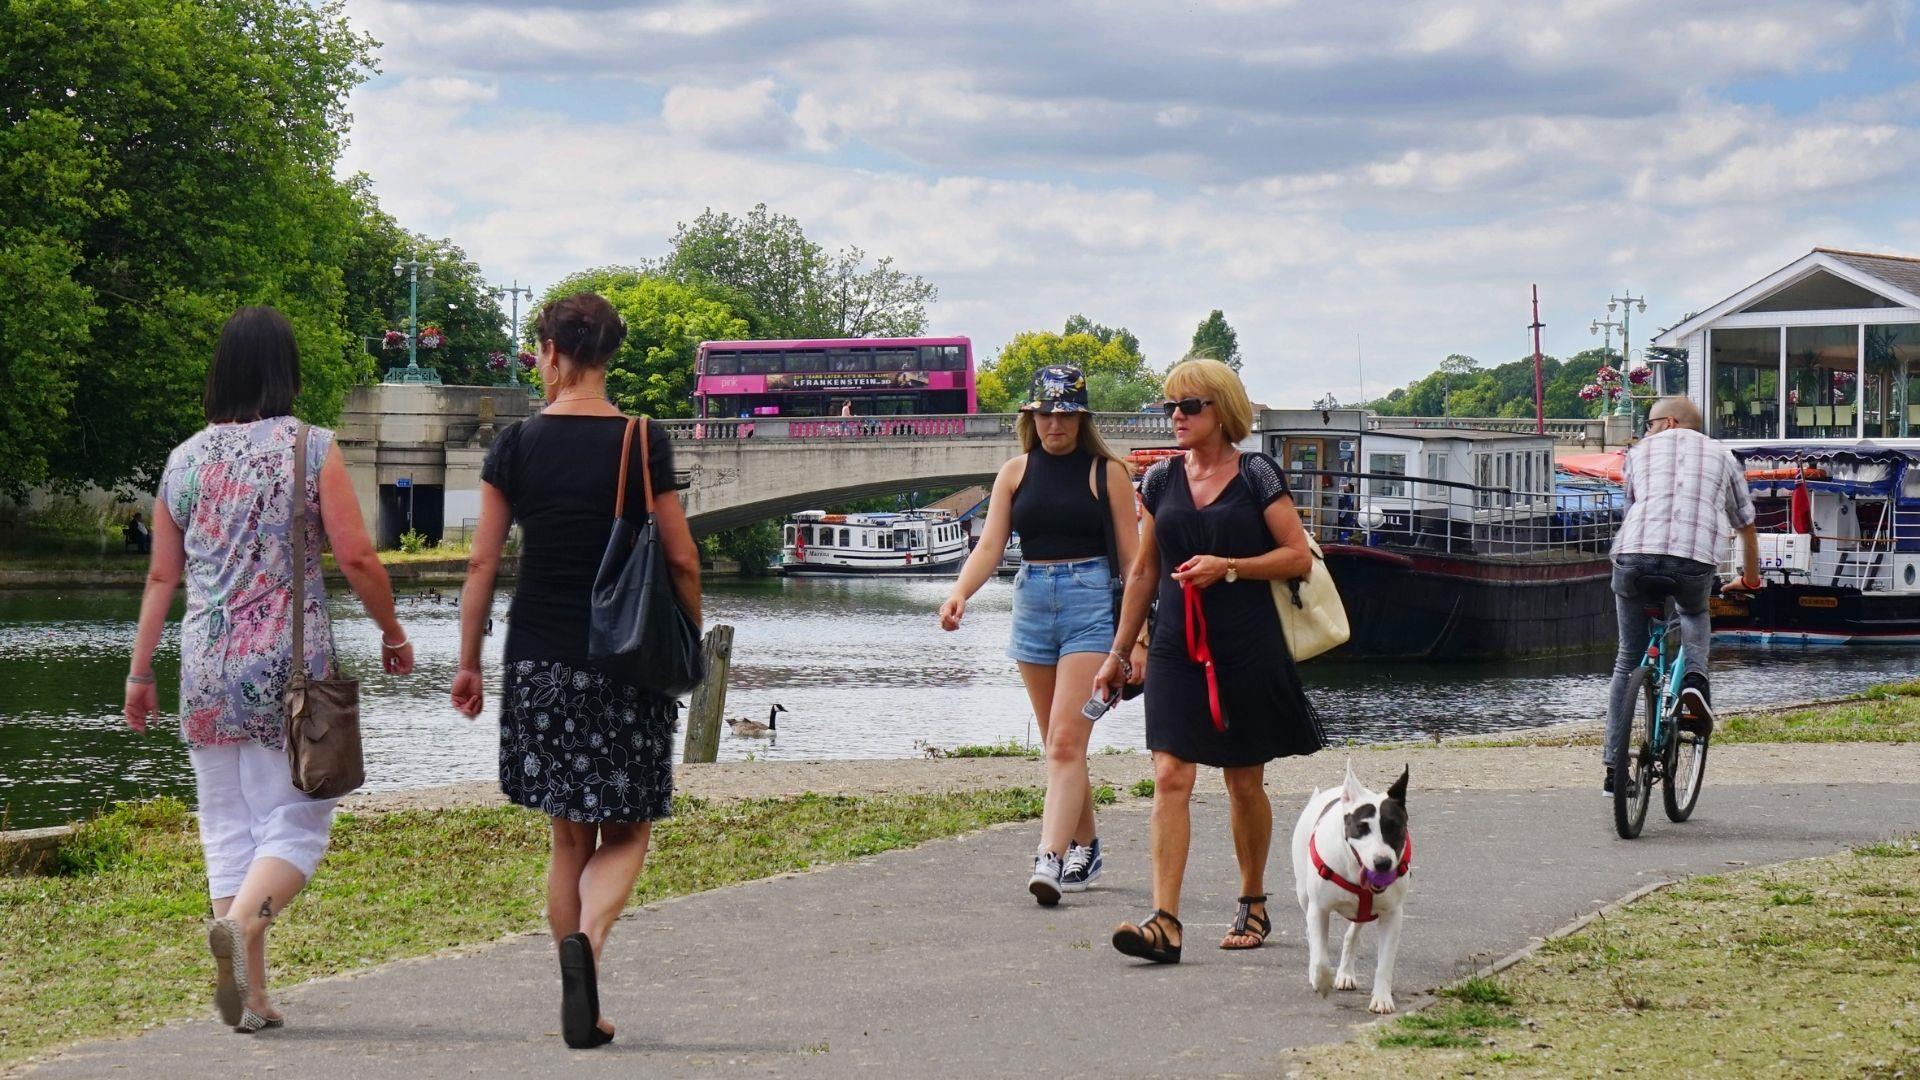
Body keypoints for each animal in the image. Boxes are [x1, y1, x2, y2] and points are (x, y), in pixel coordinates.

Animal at [1290, 757, 1413, 1006]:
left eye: (1395, 827)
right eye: (1362, 827)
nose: (1383, 863)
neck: (1354, 869)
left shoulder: (1392, 914)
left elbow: (1385, 963)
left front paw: (1382, 999)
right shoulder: (1319, 909)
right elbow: (1321, 956)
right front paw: (1321, 981)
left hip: (1363, 911)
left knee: (1352, 935)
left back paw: (1346, 974)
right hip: (1303, 893)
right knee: (1311, 935)